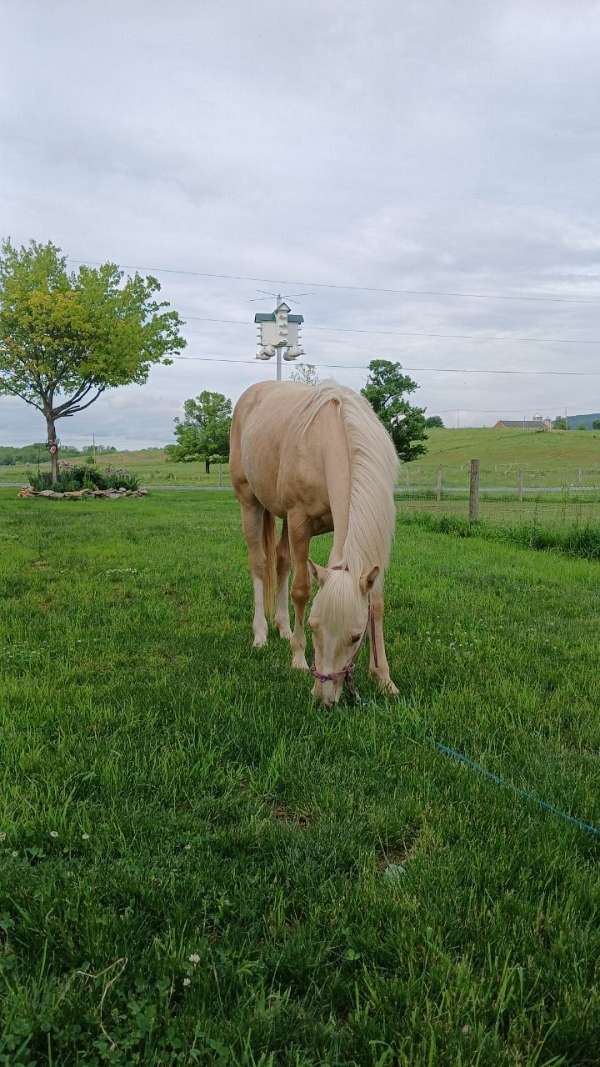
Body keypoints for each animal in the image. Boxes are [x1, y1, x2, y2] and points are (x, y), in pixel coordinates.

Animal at [229, 379, 399, 705]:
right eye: (313, 627)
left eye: (356, 636)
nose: (324, 698)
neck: (332, 439)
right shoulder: (299, 521)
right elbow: (301, 590)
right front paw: (298, 658)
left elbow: (376, 604)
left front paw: (383, 678)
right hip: (250, 503)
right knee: (260, 565)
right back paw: (261, 635)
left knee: (281, 561)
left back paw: (283, 628)